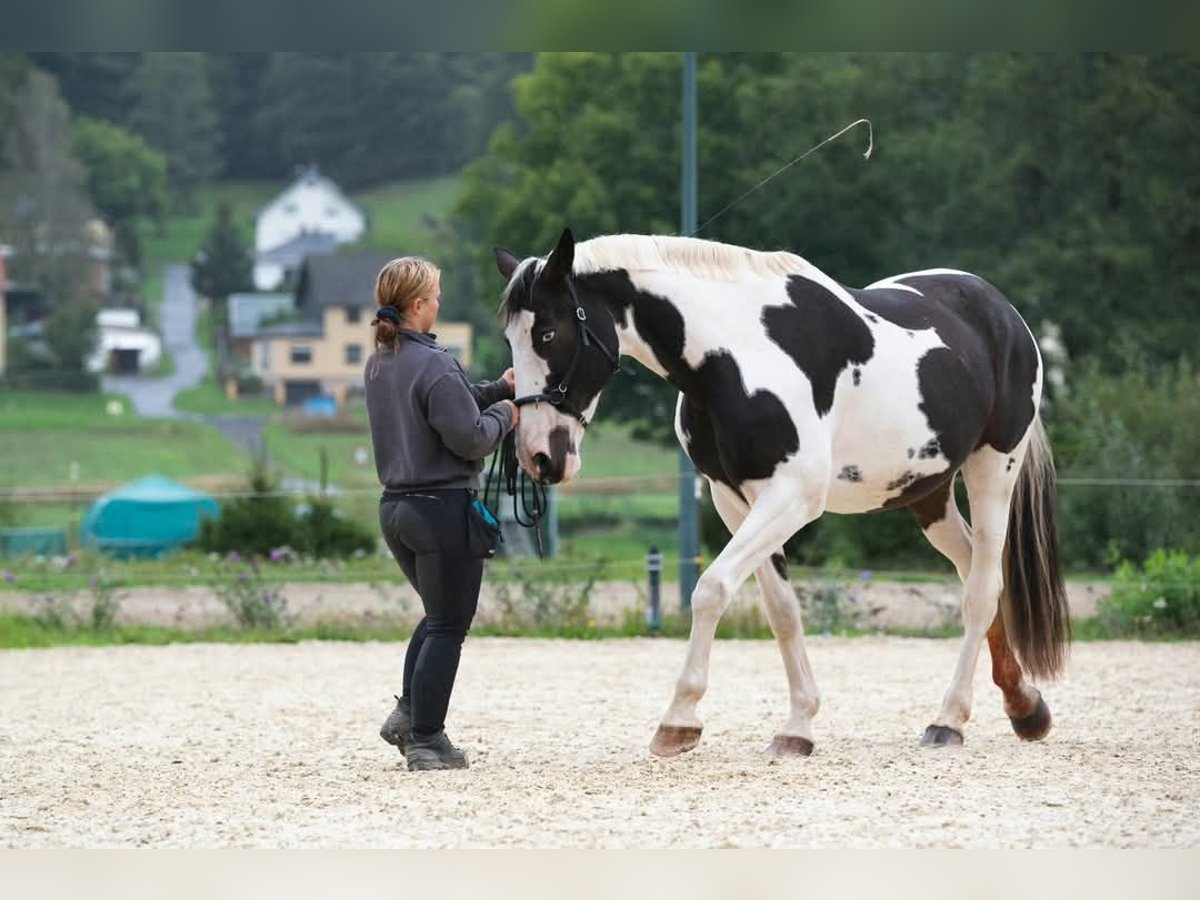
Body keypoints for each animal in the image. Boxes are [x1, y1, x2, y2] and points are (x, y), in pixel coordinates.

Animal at [492, 229, 1075, 758]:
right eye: (510, 341)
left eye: (549, 333)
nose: (540, 456)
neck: (735, 356)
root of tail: (1005, 314)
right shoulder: (733, 498)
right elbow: (782, 611)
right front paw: (798, 727)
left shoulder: (792, 497)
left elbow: (711, 589)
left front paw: (679, 719)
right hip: (926, 495)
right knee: (975, 571)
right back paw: (1025, 707)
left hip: (993, 469)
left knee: (982, 589)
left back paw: (949, 720)